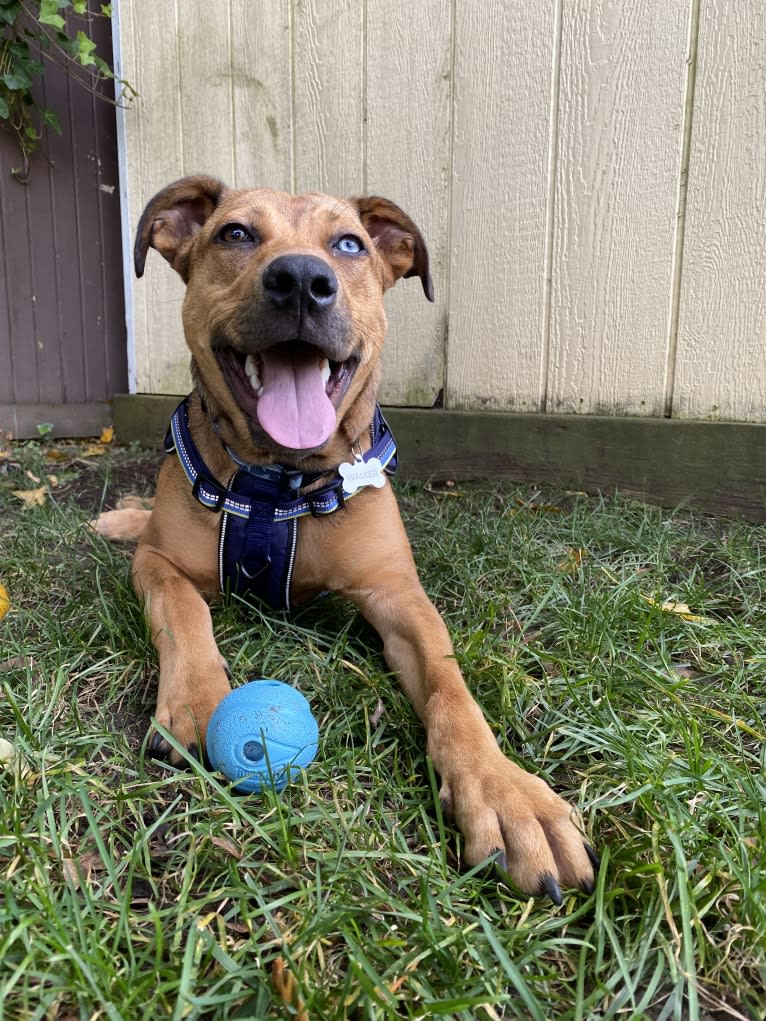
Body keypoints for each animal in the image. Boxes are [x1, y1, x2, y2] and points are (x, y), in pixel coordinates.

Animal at [97, 175, 600, 902]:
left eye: (350, 245)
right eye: (235, 234)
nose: (303, 281)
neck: (279, 481)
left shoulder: (397, 592)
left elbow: (451, 687)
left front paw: (507, 794)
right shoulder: (158, 561)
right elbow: (182, 608)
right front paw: (194, 697)